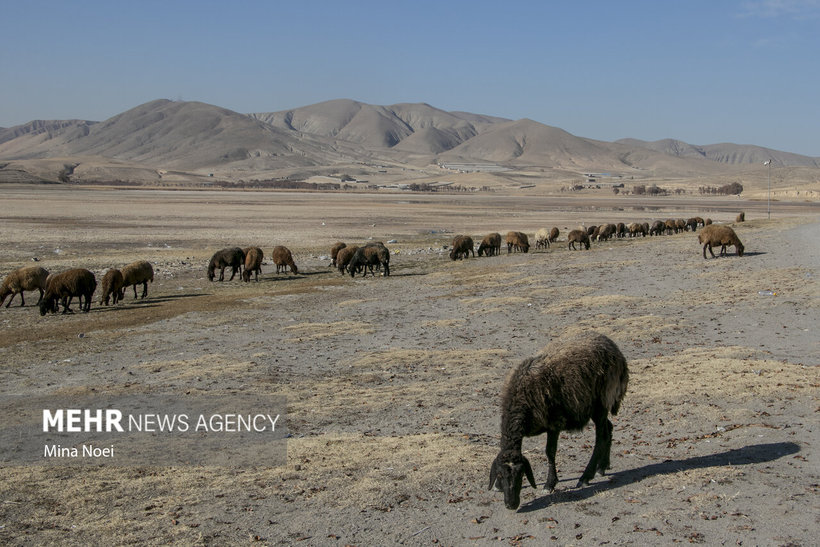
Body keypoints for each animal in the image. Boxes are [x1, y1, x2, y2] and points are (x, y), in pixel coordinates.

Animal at [490, 332, 632, 512]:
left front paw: (549, 484)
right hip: (596, 406)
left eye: (521, 474)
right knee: (609, 428)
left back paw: (586, 477)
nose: (511, 504)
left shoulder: (554, 424)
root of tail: (616, 350)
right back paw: (602, 467)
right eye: (500, 474)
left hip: (601, 401)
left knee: (602, 436)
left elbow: (550, 452)